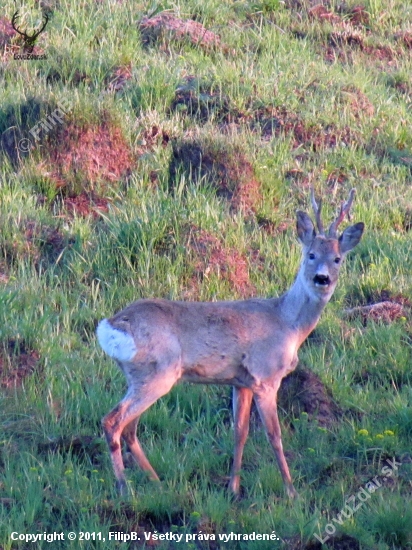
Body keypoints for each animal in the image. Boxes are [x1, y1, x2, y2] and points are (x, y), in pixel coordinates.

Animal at [96, 190, 364, 500]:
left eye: (337, 258)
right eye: (311, 255)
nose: (322, 278)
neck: (287, 323)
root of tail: (111, 325)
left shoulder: (241, 381)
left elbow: (240, 431)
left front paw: (233, 489)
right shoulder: (266, 377)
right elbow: (274, 435)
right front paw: (291, 491)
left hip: (140, 376)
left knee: (129, 428)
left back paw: (157, 482)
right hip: (158, 373)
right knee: (113, 421)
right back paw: (124, 487)